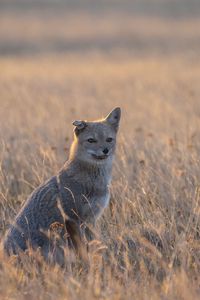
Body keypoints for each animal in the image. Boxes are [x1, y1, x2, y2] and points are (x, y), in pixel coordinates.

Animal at [3, 106, 121, 264]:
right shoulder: (73, 218)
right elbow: (82, 248)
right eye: (91, 140)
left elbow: (93, 243)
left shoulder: (91, 218)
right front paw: (86, 262)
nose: (105, 150)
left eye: (109, 140)